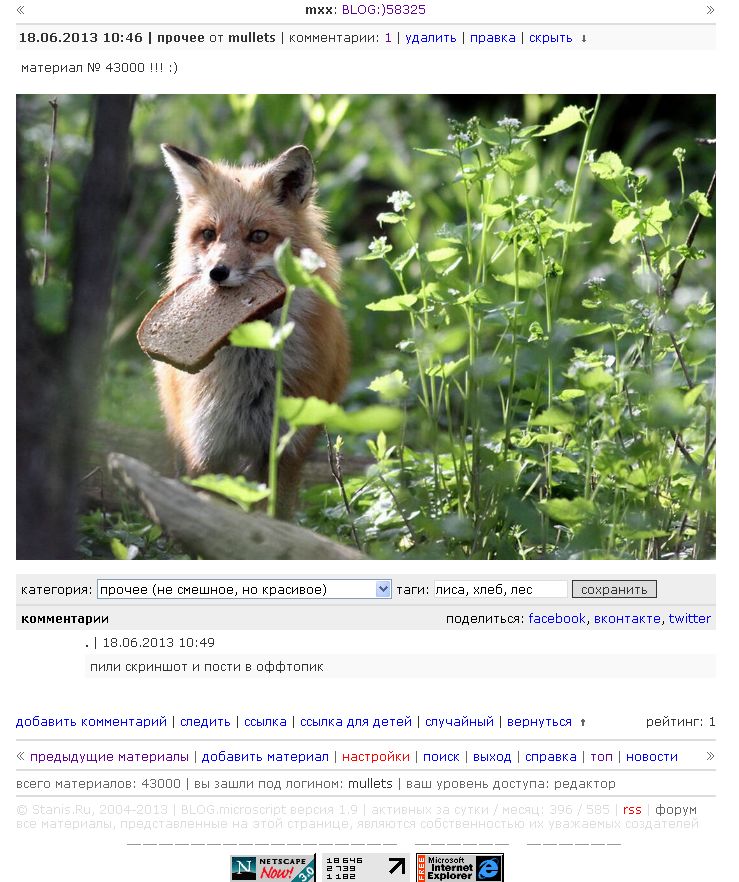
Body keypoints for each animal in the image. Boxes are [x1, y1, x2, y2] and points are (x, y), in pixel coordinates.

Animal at [156, 143, 350, 520]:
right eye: (209, 234)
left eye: (258, 236)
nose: (217, 272)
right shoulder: (206, 450)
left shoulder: (283, 451)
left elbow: (274, 518)